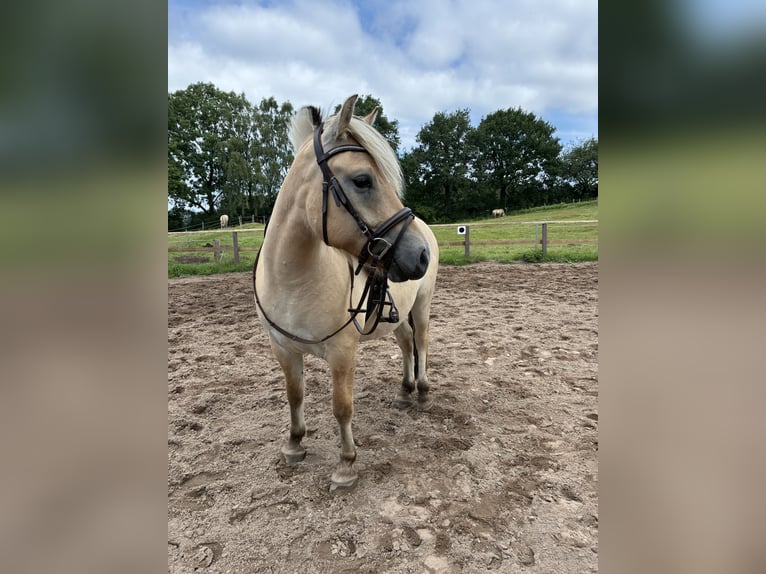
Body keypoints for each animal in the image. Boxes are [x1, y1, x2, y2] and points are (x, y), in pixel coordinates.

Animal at [253, 95, 439, 490]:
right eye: (363, 180)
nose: (421, 255)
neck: (294, 282)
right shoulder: (283, 349)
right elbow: (294, 395)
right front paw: (294, 445)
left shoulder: (342, 352)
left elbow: (341, 406)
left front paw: (346, 465)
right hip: (396, 316)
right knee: (406, 345)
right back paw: (404, 392)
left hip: (421, 306)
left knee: (422, 342)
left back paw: (422, 392)